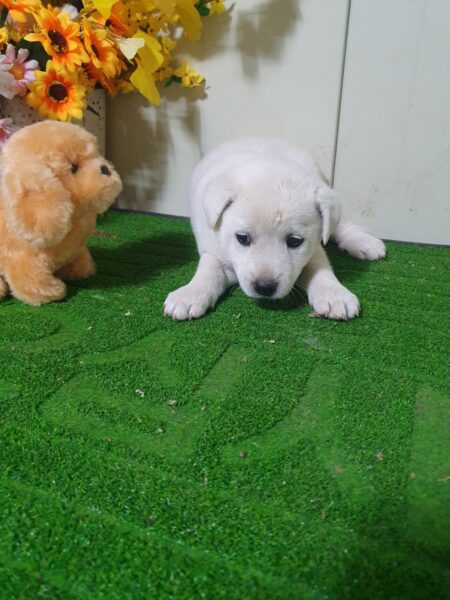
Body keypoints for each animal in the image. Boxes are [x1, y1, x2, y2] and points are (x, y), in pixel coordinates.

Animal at [163, 138, 384, 322]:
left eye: (294, 241)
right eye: (242, 238)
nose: (264, 287)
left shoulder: (314, 247)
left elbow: (319, 267)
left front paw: (334, 294)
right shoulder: (214, 249)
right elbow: (209, 270)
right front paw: (190, 294)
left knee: (339, 223)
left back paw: (363, 242)